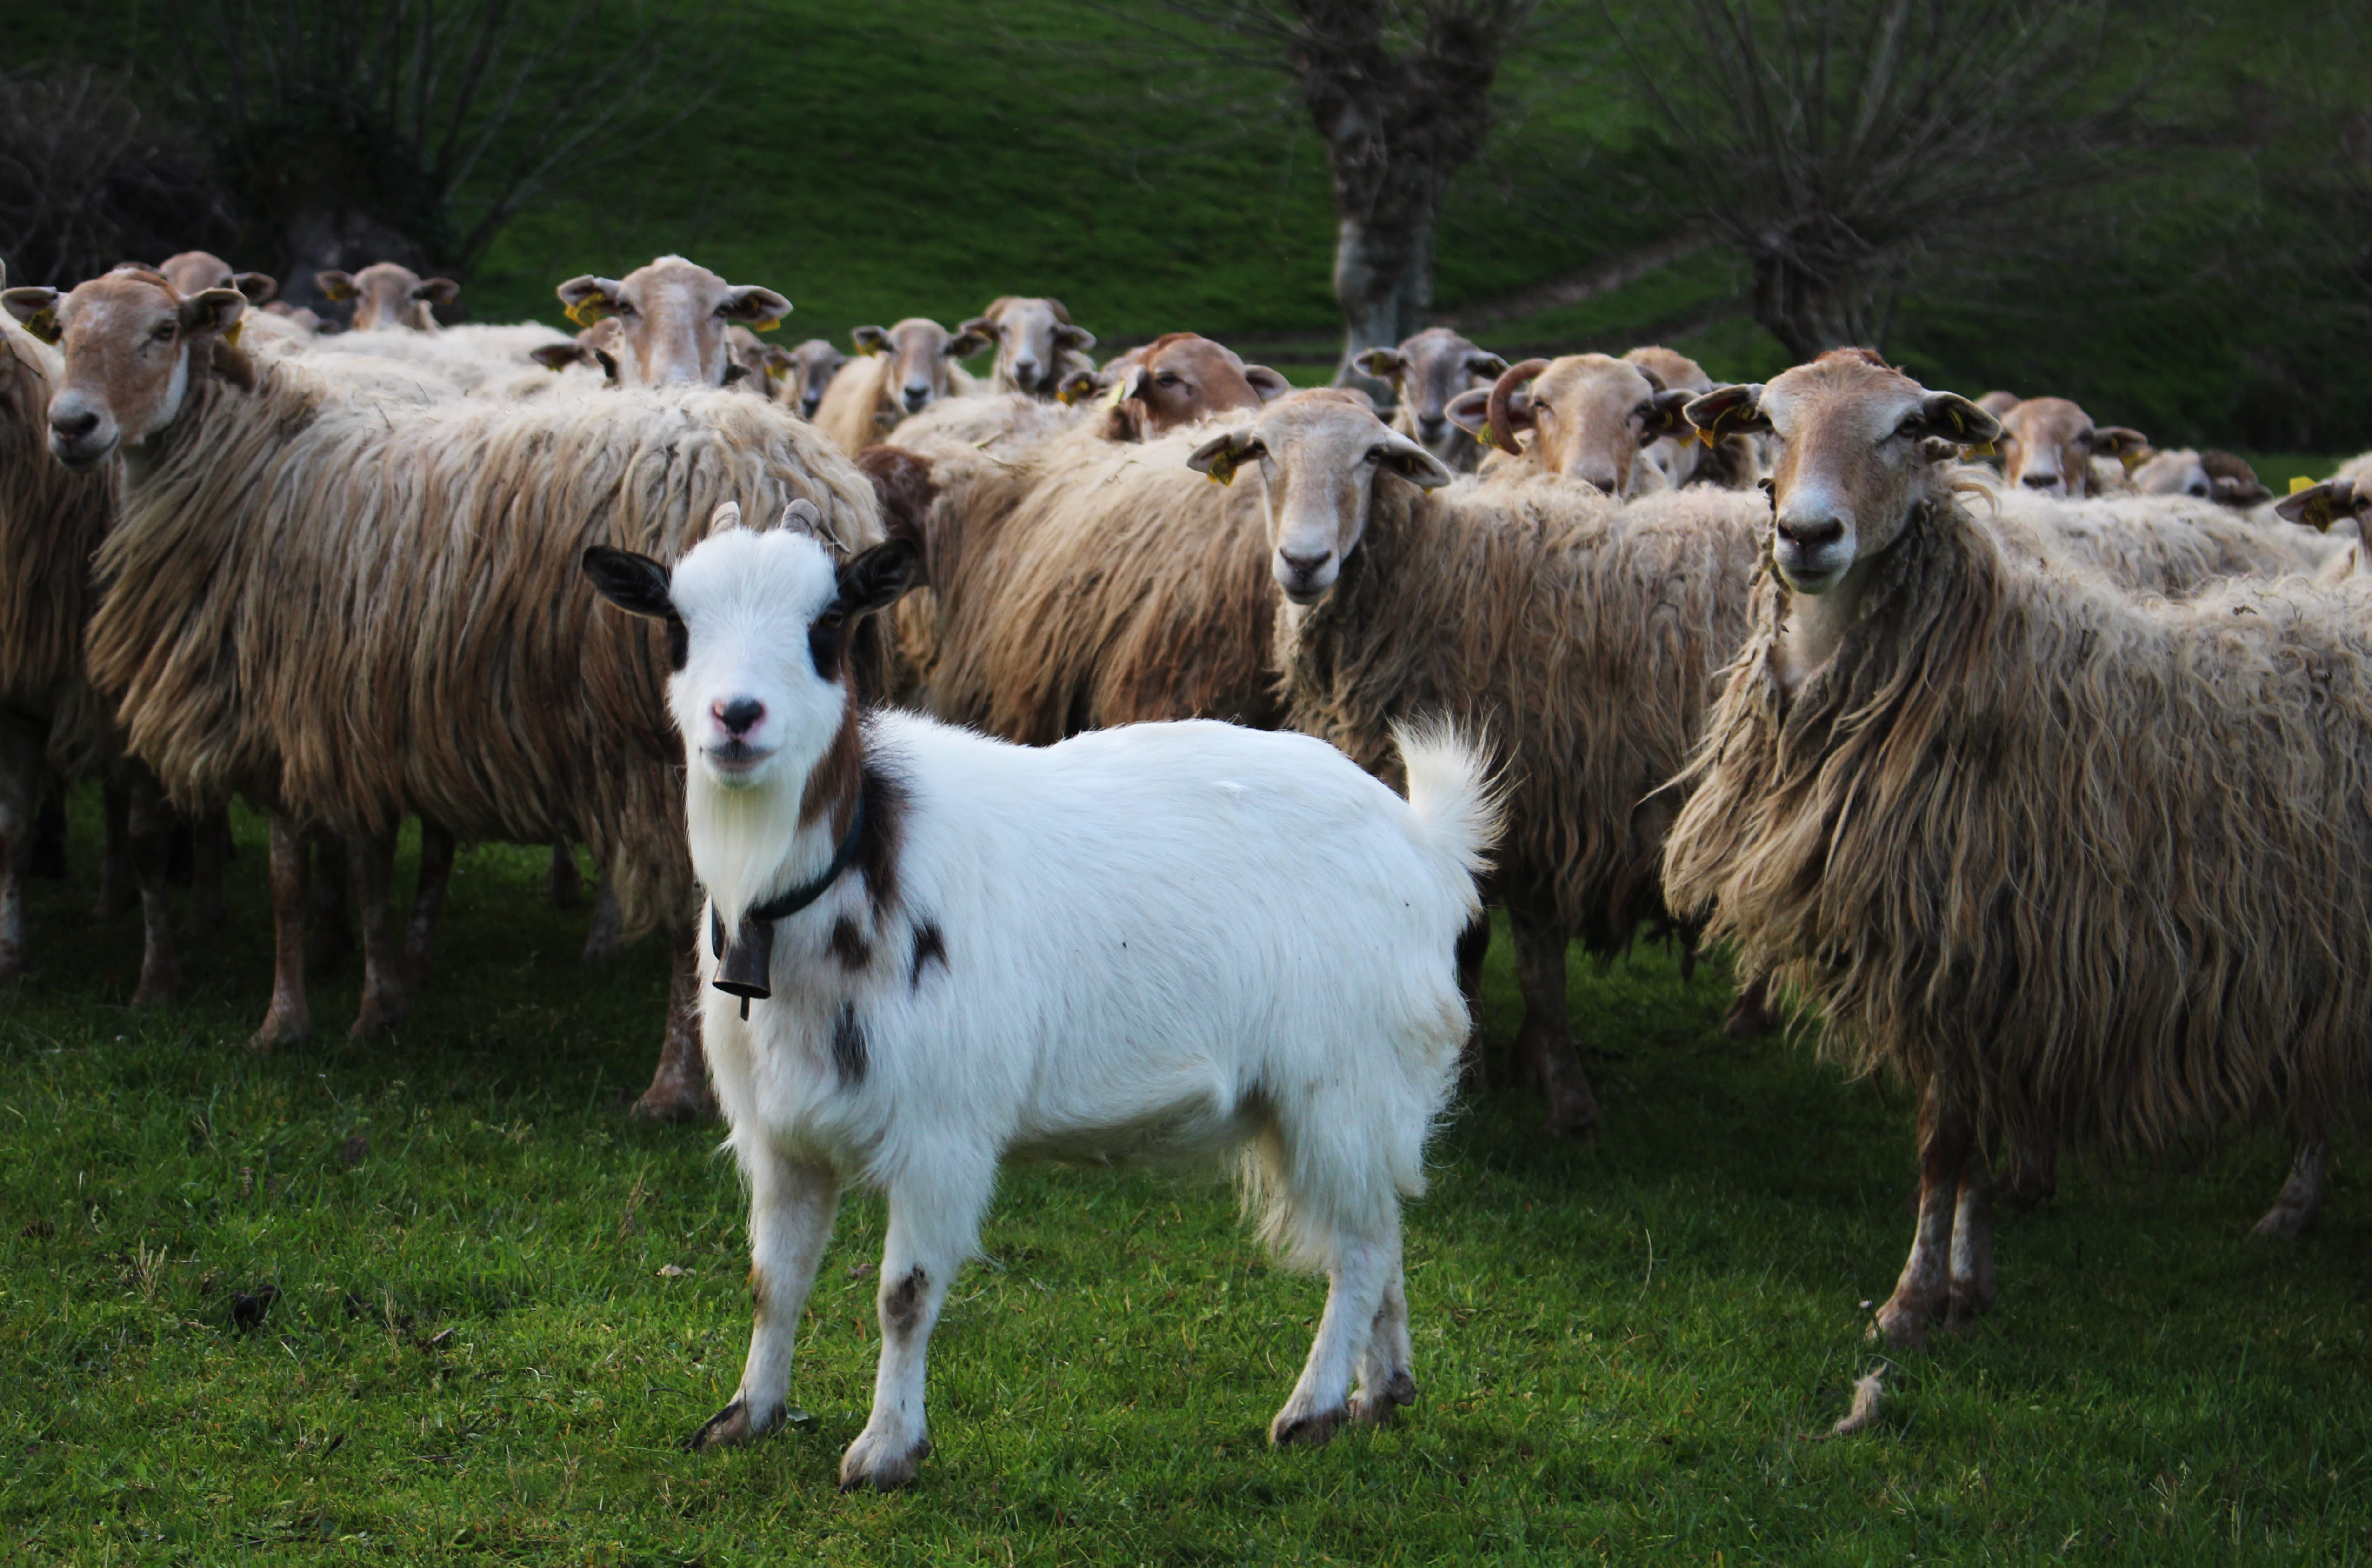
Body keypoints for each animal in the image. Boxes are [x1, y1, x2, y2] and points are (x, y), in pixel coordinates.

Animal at [3, 268, 882, 1122]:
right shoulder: (351, 722)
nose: (71, 427)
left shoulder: (284, 713)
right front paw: (377, 1006)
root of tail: (792, 467)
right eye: (65, 331)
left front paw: (282, 1023)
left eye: (162, 331)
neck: (246, 467)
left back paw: (672, 1089)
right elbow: (365, 871)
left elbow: (288, 882)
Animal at [580, 516, 1494, 1485]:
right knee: (1385, 1225)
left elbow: (904, 1295)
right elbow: (772, 1281)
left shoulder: (942, 1132)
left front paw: (886, 1448)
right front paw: (748, 1413)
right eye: (678, 625)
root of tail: (1427, 844)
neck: (854, 864)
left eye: (828, 624)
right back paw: (1383, 1391)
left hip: (1341, 1082)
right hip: (1355, 1098)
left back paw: (1312, 1407)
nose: (738, 715)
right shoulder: (781, 1135)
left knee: (1357, 1245)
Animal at [1188, 390, 1772, 1139]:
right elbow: (1469, 950)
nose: (1303, 560)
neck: (1441, 574)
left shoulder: (1545, 813)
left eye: (1373, 456)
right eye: (1261, 451)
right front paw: (1477, 1071)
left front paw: (1568, 1108)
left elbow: (1539, 975)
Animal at [1662, 348, 2372, 1348]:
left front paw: (1911, 1304)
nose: (1806, 534)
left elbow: (1947, 1143)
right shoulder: (1984, 977)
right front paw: (1968, 1288)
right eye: (1767, 420)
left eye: (1911, 428)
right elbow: (1972, 1153)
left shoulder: (1973, 954)